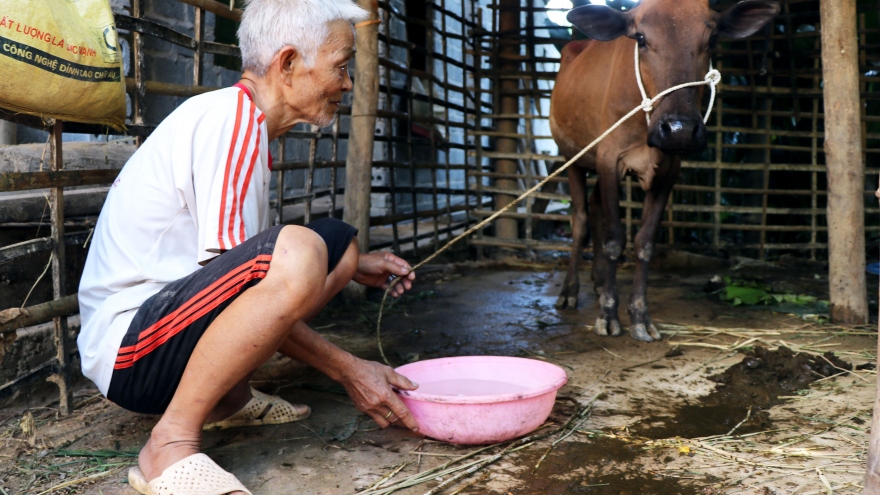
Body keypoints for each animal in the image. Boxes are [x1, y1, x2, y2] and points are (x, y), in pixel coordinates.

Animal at [552, 0, 776, 340]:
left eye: (712, 39)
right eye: (641, 39)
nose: (679, 130)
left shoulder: (670, 168)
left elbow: (645, 243)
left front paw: (639, 315)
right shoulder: (608, 159)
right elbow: (615, 239)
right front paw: (608, 313)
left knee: (595, 208)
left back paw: (600, 281)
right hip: (573, 156)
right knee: (580, 221)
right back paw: (570, 290)